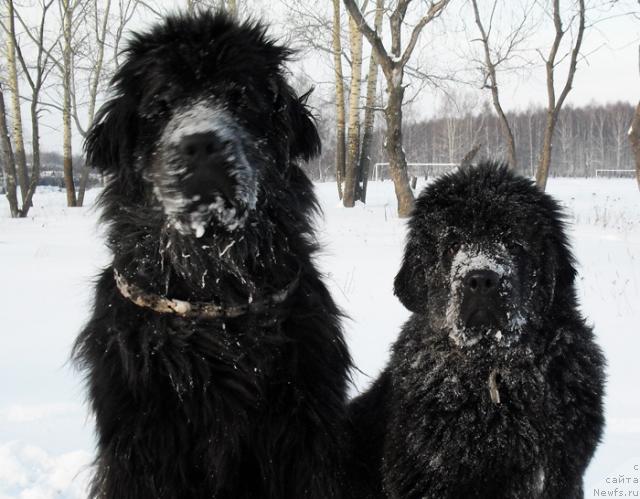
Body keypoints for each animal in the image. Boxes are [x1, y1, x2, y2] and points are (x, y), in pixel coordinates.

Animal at [74, 12, 352, 499]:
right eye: (162, 103)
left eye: (239, 97)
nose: (202, 142)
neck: (214, 294)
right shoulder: (142, 444)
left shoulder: (306, 434)